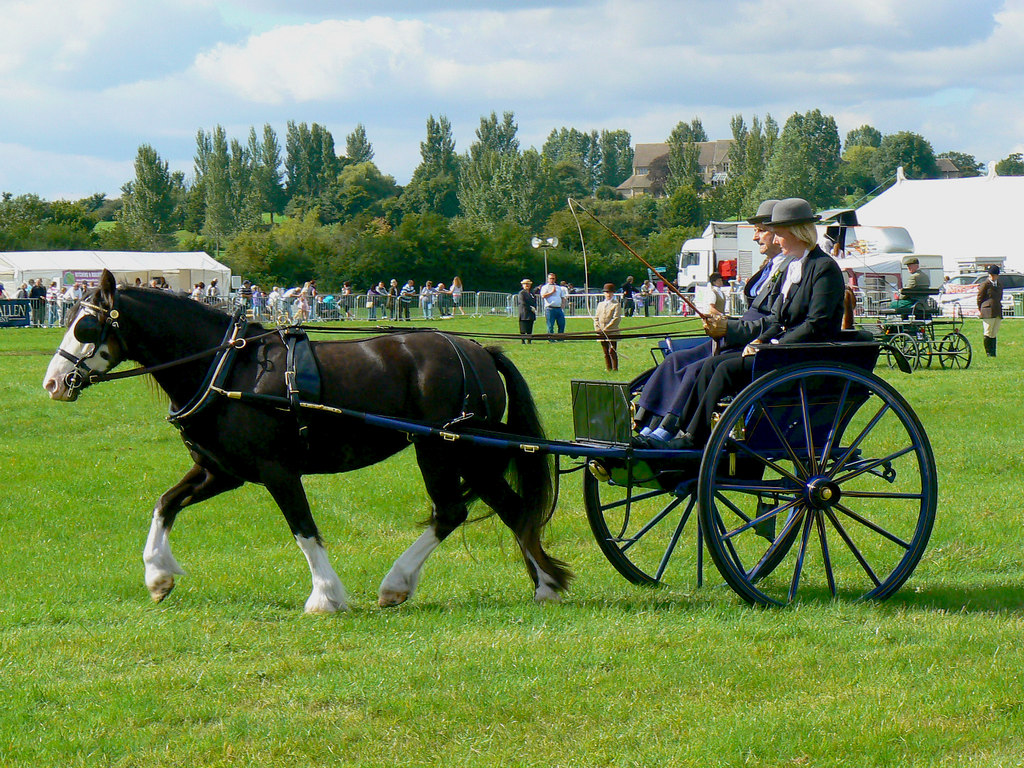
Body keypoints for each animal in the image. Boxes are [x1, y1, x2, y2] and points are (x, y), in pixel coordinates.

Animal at [44, 270, 573, 614]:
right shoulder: (221, 471)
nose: (53, 383)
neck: (226, 369)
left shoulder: (278, 472)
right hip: (464, 452)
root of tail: (477, 348)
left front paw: (325, 596)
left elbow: (303, 529)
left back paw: (400, 583)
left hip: (446, 448)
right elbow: (165, 503)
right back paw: (544, 583)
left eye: (86, 325)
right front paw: (158, 576)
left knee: (457, 511)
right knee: (506, 508)